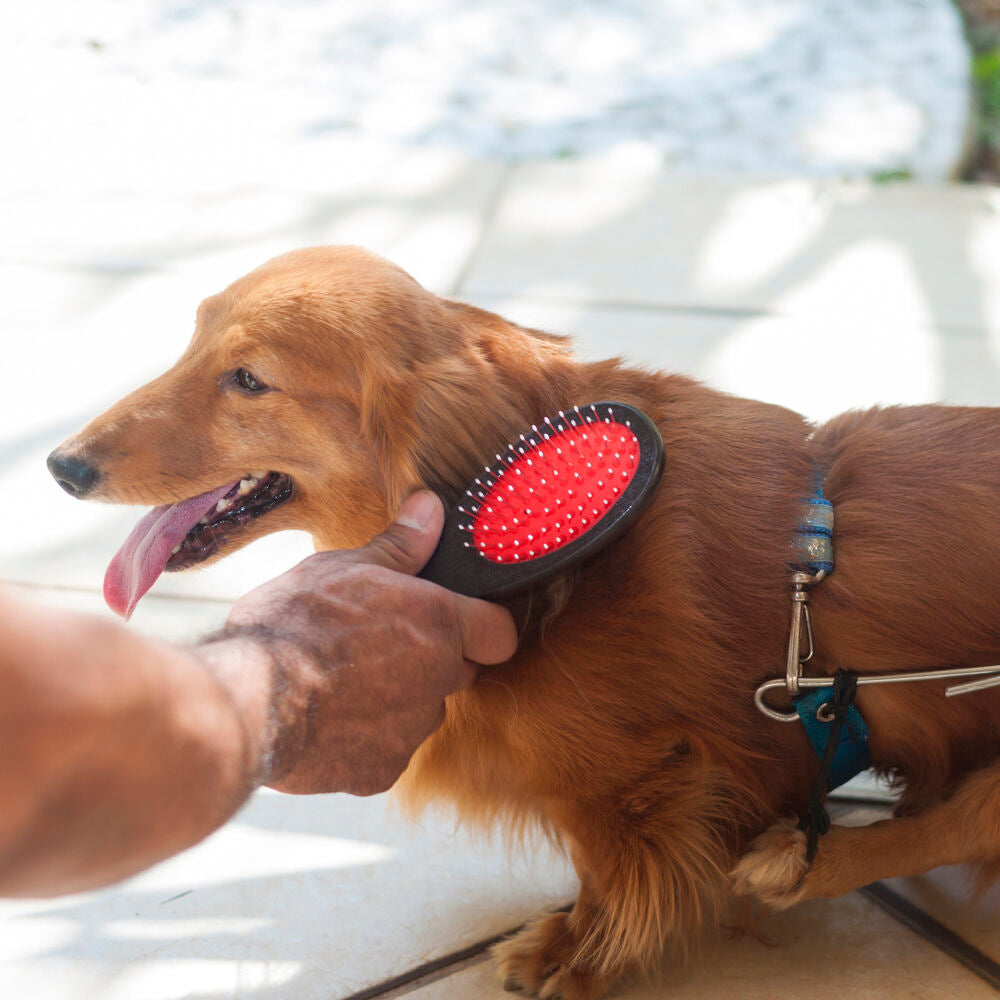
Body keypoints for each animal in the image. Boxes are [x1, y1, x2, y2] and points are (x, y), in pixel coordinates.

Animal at [48, 246, 1000, 996]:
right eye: (192, 342)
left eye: (249, 379)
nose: (61, 466)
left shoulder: (621, 782)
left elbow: (607, 871)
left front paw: (578, 951)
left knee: (954, 824)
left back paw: (801, 861)